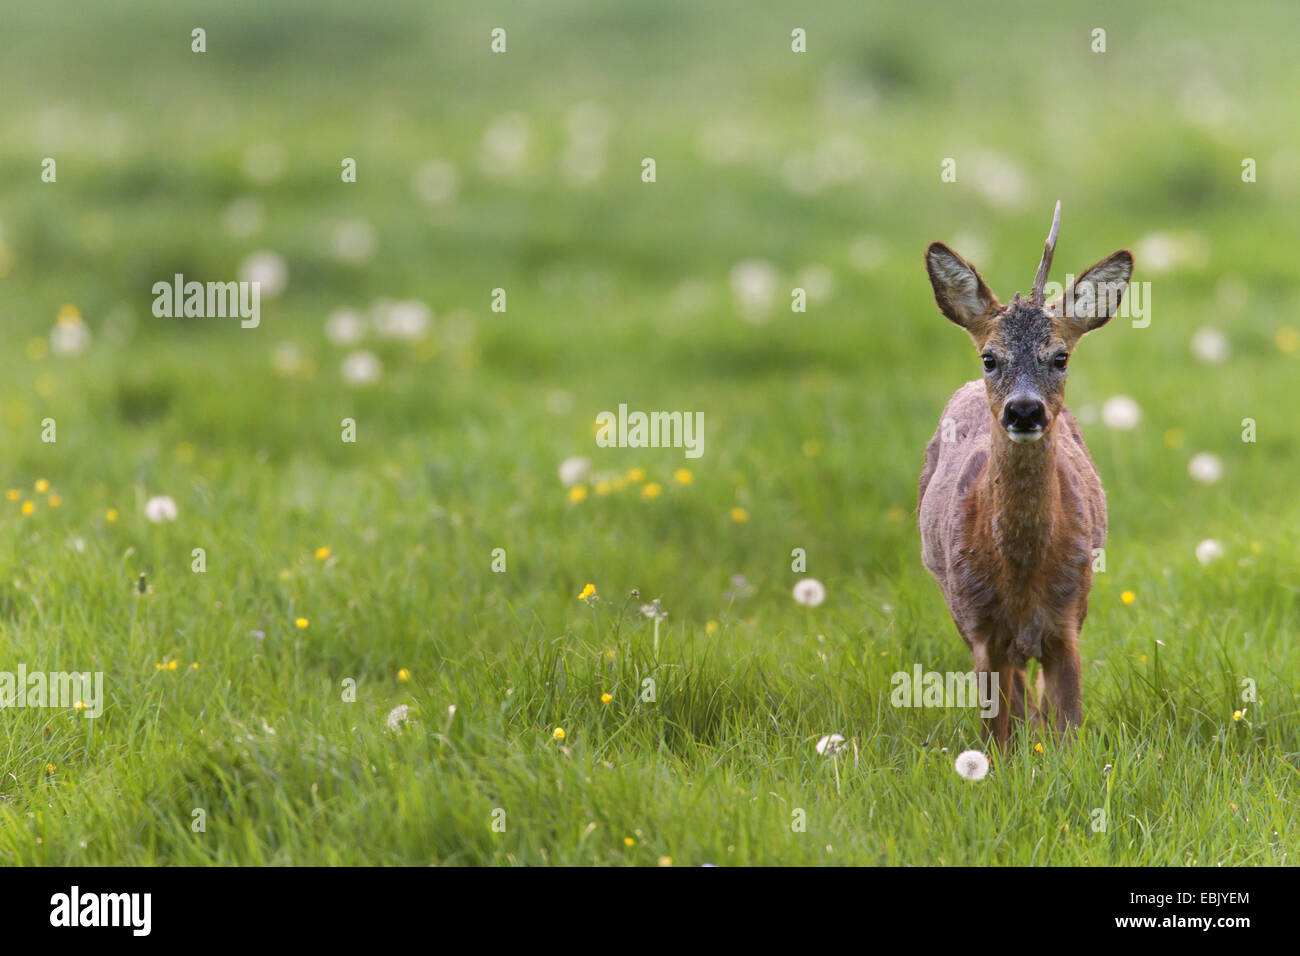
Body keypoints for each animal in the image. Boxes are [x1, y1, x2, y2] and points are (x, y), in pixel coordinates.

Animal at [917, 202, 1132, 752]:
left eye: (1060, 356)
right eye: (990, 357)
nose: (1024, 410)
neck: (1021, 571)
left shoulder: (1068, 621)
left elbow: (1068, 729)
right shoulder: (979, 628)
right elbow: (999, 737)